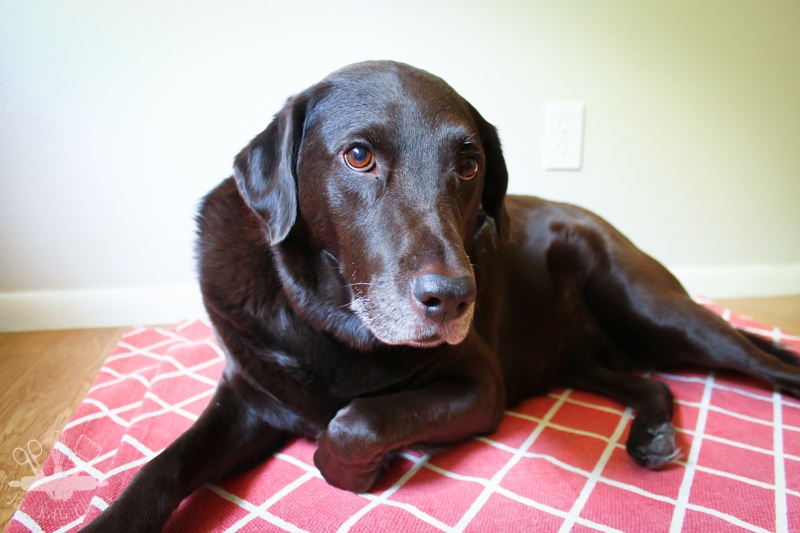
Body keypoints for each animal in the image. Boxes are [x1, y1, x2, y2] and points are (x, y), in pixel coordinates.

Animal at [83, 60, 800, 528]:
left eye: (468, 163)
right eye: (359, 156)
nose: (455, 299)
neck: (328, 320)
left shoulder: (480, 388)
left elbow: (355, 420)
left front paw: (351, 470)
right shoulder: (248, 399)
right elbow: (161, 466)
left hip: (652, 310)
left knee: (760, 359)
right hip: (583, 357)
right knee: (651, 383)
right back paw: (651, 433)